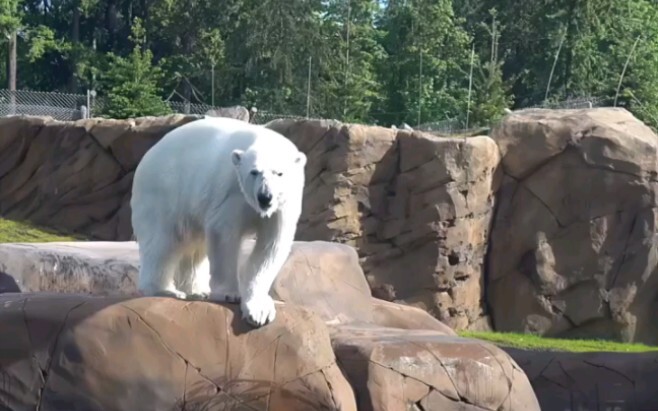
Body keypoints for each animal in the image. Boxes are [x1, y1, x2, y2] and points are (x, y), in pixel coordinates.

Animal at [130, 116, 307, 327]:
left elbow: (271, 244)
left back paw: (198, 290)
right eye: (254, 172)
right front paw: (230, 293)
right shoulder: (231, 192)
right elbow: (224, 234)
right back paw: (164, 290)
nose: (265, 197)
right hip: (164, 191)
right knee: (161, 241)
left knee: (194, 248)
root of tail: (148, 155)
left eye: (279, 173)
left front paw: (259, 310)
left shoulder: (283, 204)